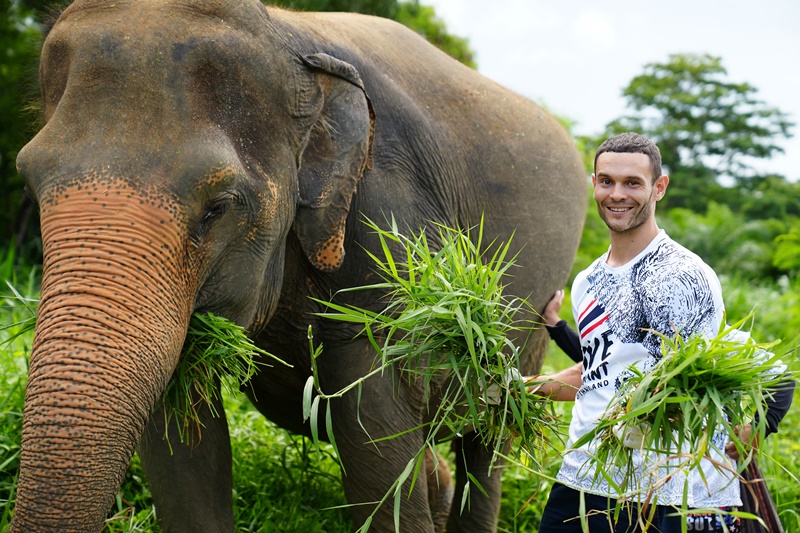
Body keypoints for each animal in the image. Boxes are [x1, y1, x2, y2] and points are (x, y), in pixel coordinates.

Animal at [10, 1, 587, 532]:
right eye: (31, 188)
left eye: (219, 206)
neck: (287, 35)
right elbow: (179, 438)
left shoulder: (388, 221)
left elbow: (376, 430)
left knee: (490, 440)